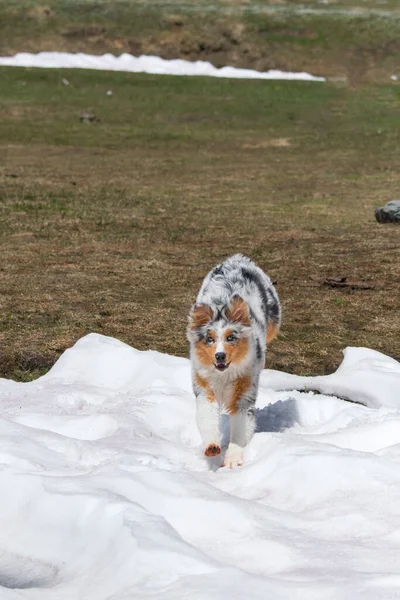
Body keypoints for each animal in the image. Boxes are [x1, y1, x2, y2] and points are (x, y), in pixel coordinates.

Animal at [188, 253, 280, 468]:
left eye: (231, 338)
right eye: (210, 339)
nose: (219, 356)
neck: (224, 375)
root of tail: (238, 258)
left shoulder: (244, 391)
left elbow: (239, 428)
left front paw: (233, 459)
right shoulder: (204, 387)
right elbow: (207, 418)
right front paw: (212, 447)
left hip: (274, 317)